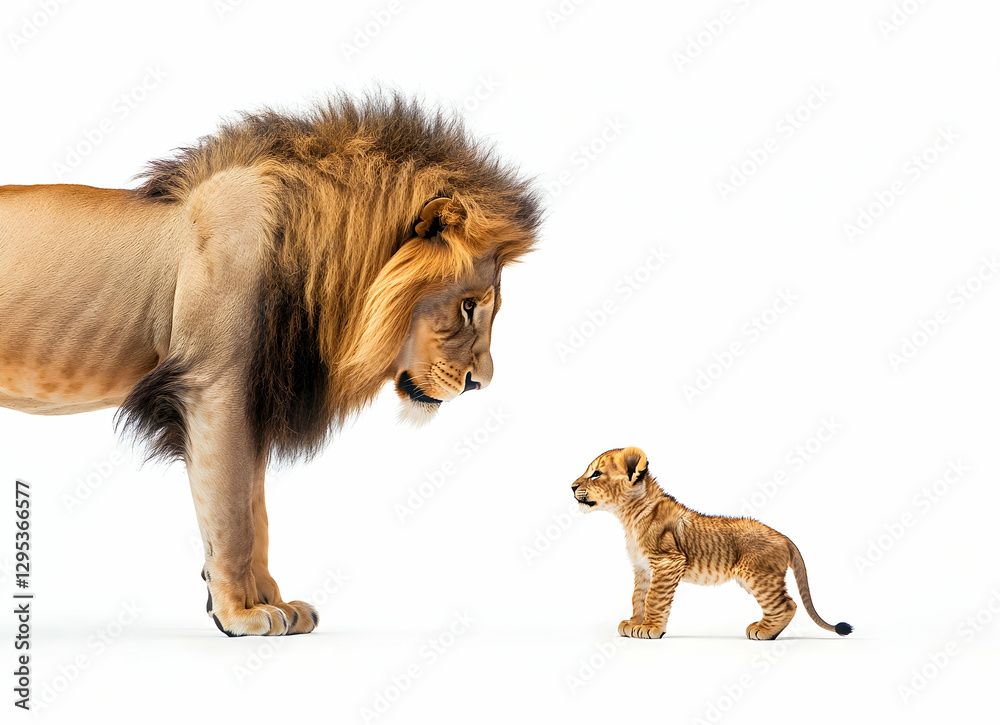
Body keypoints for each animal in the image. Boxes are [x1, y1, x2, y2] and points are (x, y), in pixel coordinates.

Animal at [0, 93, 542, 636]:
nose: (480, 383)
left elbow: (255, 512)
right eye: (468, 306)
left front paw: (273, 603)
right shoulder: (213, 388)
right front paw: (240, 614)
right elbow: (231, 514)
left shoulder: (255, 396)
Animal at [572, 447, 853, 640]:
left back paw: (763, 632)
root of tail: (784, 537)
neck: (628, 515)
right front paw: (634, 623)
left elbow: (654, 598)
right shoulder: (642, 568)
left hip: (757, 575)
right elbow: (638, 597)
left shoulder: (668, 561)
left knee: (787, 604)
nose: (572, 486)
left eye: (596, 474)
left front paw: (650, 628)